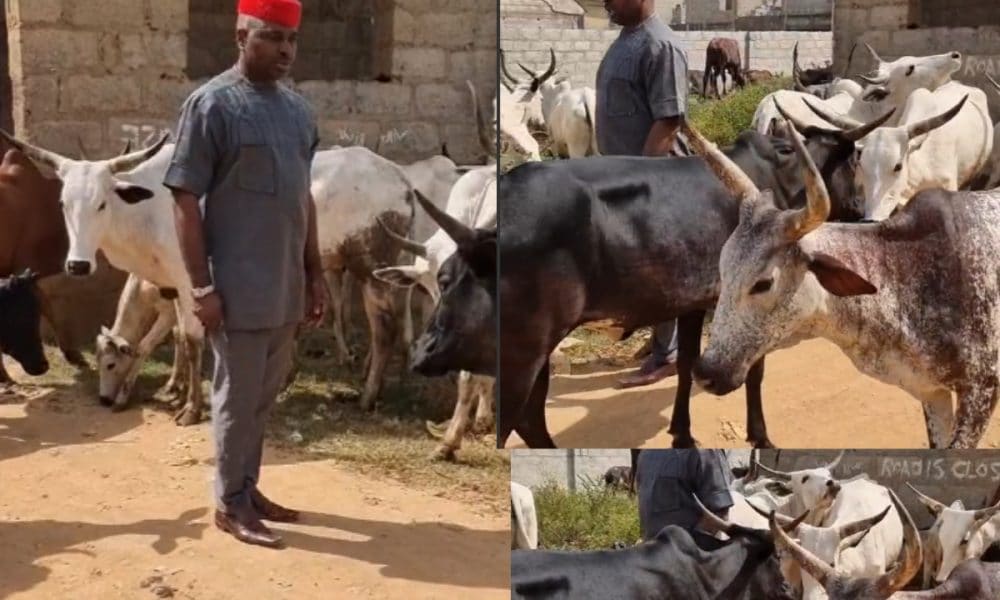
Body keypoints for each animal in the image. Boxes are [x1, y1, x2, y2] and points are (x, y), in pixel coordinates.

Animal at [0, 132, 208, 426]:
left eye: (101, 203)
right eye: (63, 203)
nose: (78, 265)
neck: (149, 212)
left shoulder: (190, 283)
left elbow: (192, 341)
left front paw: (192, 408)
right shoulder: (172, 286)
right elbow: (179, 335)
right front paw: (174, 391)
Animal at [496, 113, 880, 450]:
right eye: (853, 161)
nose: (862, 210)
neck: (782, 174)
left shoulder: (694, 303)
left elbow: (685, 366)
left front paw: (681, 433)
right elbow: (752, 371)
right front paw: (760, 436)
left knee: (529, 419)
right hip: (526, 350)